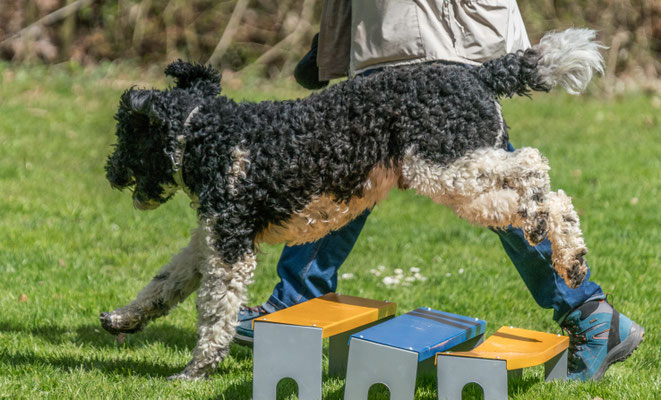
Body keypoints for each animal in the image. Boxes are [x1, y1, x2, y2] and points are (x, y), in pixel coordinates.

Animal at [100, 29, 600, 380]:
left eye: (124, 133)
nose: (110, 173)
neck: (208, 135)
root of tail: (476, 73)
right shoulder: (208, 241)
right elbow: (162, 286)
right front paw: (122, 319)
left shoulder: (230, 247)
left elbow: (213, 315)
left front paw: (195, 371)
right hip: (462, 175)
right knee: (537, 191)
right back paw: (567, 253)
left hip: (443, 169)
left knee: (535, 169)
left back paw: (555, 237)